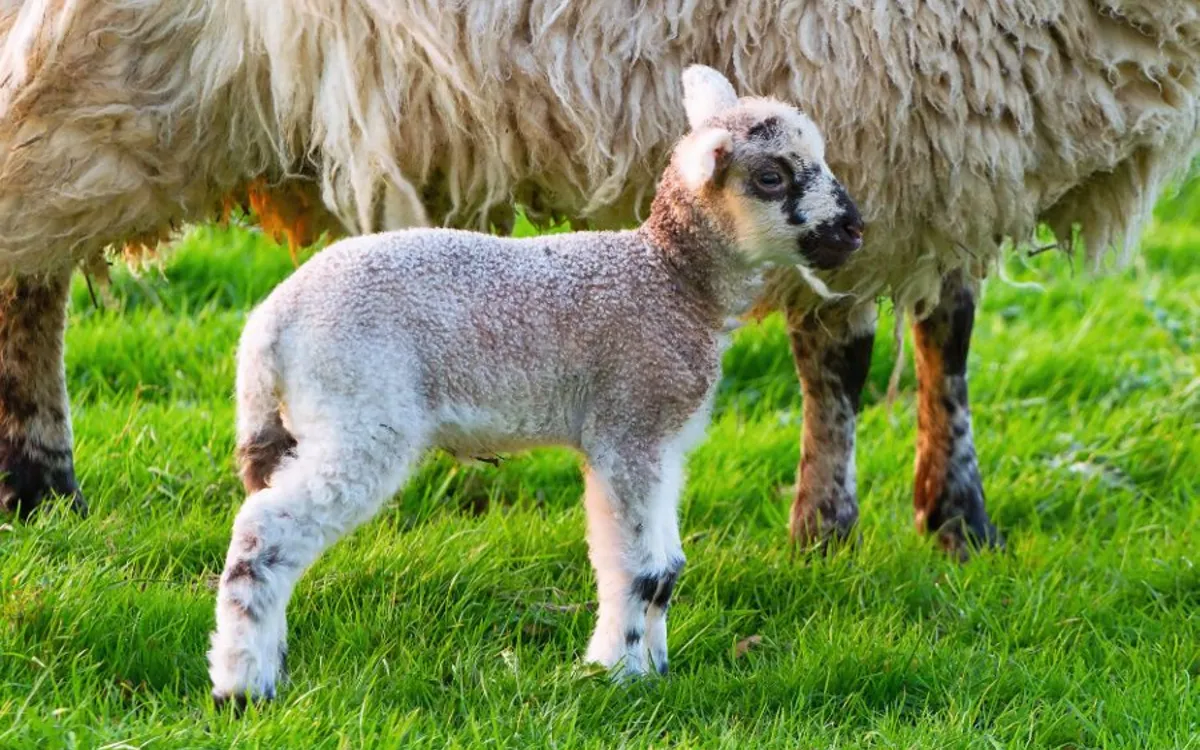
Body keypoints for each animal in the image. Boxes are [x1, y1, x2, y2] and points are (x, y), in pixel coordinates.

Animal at [2, 1, 1198, 559]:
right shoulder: (874, 105)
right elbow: (843, 355)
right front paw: (828, 527)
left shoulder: (953, 148)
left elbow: (946, 336)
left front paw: (956, 521)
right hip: (85, 69)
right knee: (30, 280)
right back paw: (39, 480)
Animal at [206, 66, 865, 704]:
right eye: (772, 177)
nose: (854, 230)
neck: (670, 278)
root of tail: (269, 325)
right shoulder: (628, 422)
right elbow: (636, 567)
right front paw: (617, 673)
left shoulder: (661, 440)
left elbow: (665, 566)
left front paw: (654, 670)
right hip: (360, 409)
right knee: (265, 528)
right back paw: (242, 687)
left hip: (313, 417)